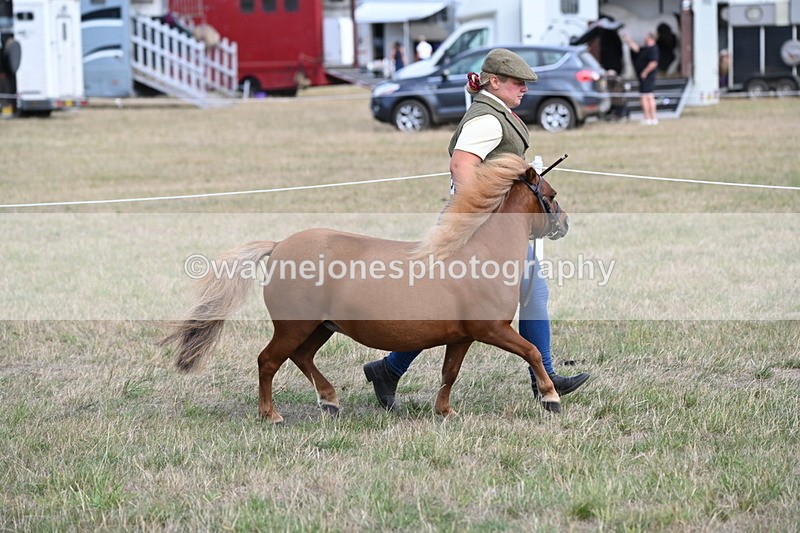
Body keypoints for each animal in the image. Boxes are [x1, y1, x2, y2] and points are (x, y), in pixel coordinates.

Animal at [161, 153, 570, 423]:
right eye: (550, 194)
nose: (564, 222)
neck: (479, 253)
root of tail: (278, 246)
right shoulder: (492, 330)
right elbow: (532, 351)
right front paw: (551, 397)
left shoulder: (462, 337)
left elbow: (449, 373)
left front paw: (445, 411)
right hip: (294, 326)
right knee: (268, 361)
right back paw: (271, 414)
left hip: (320, 327)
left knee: (302, 358)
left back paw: (330, 401)